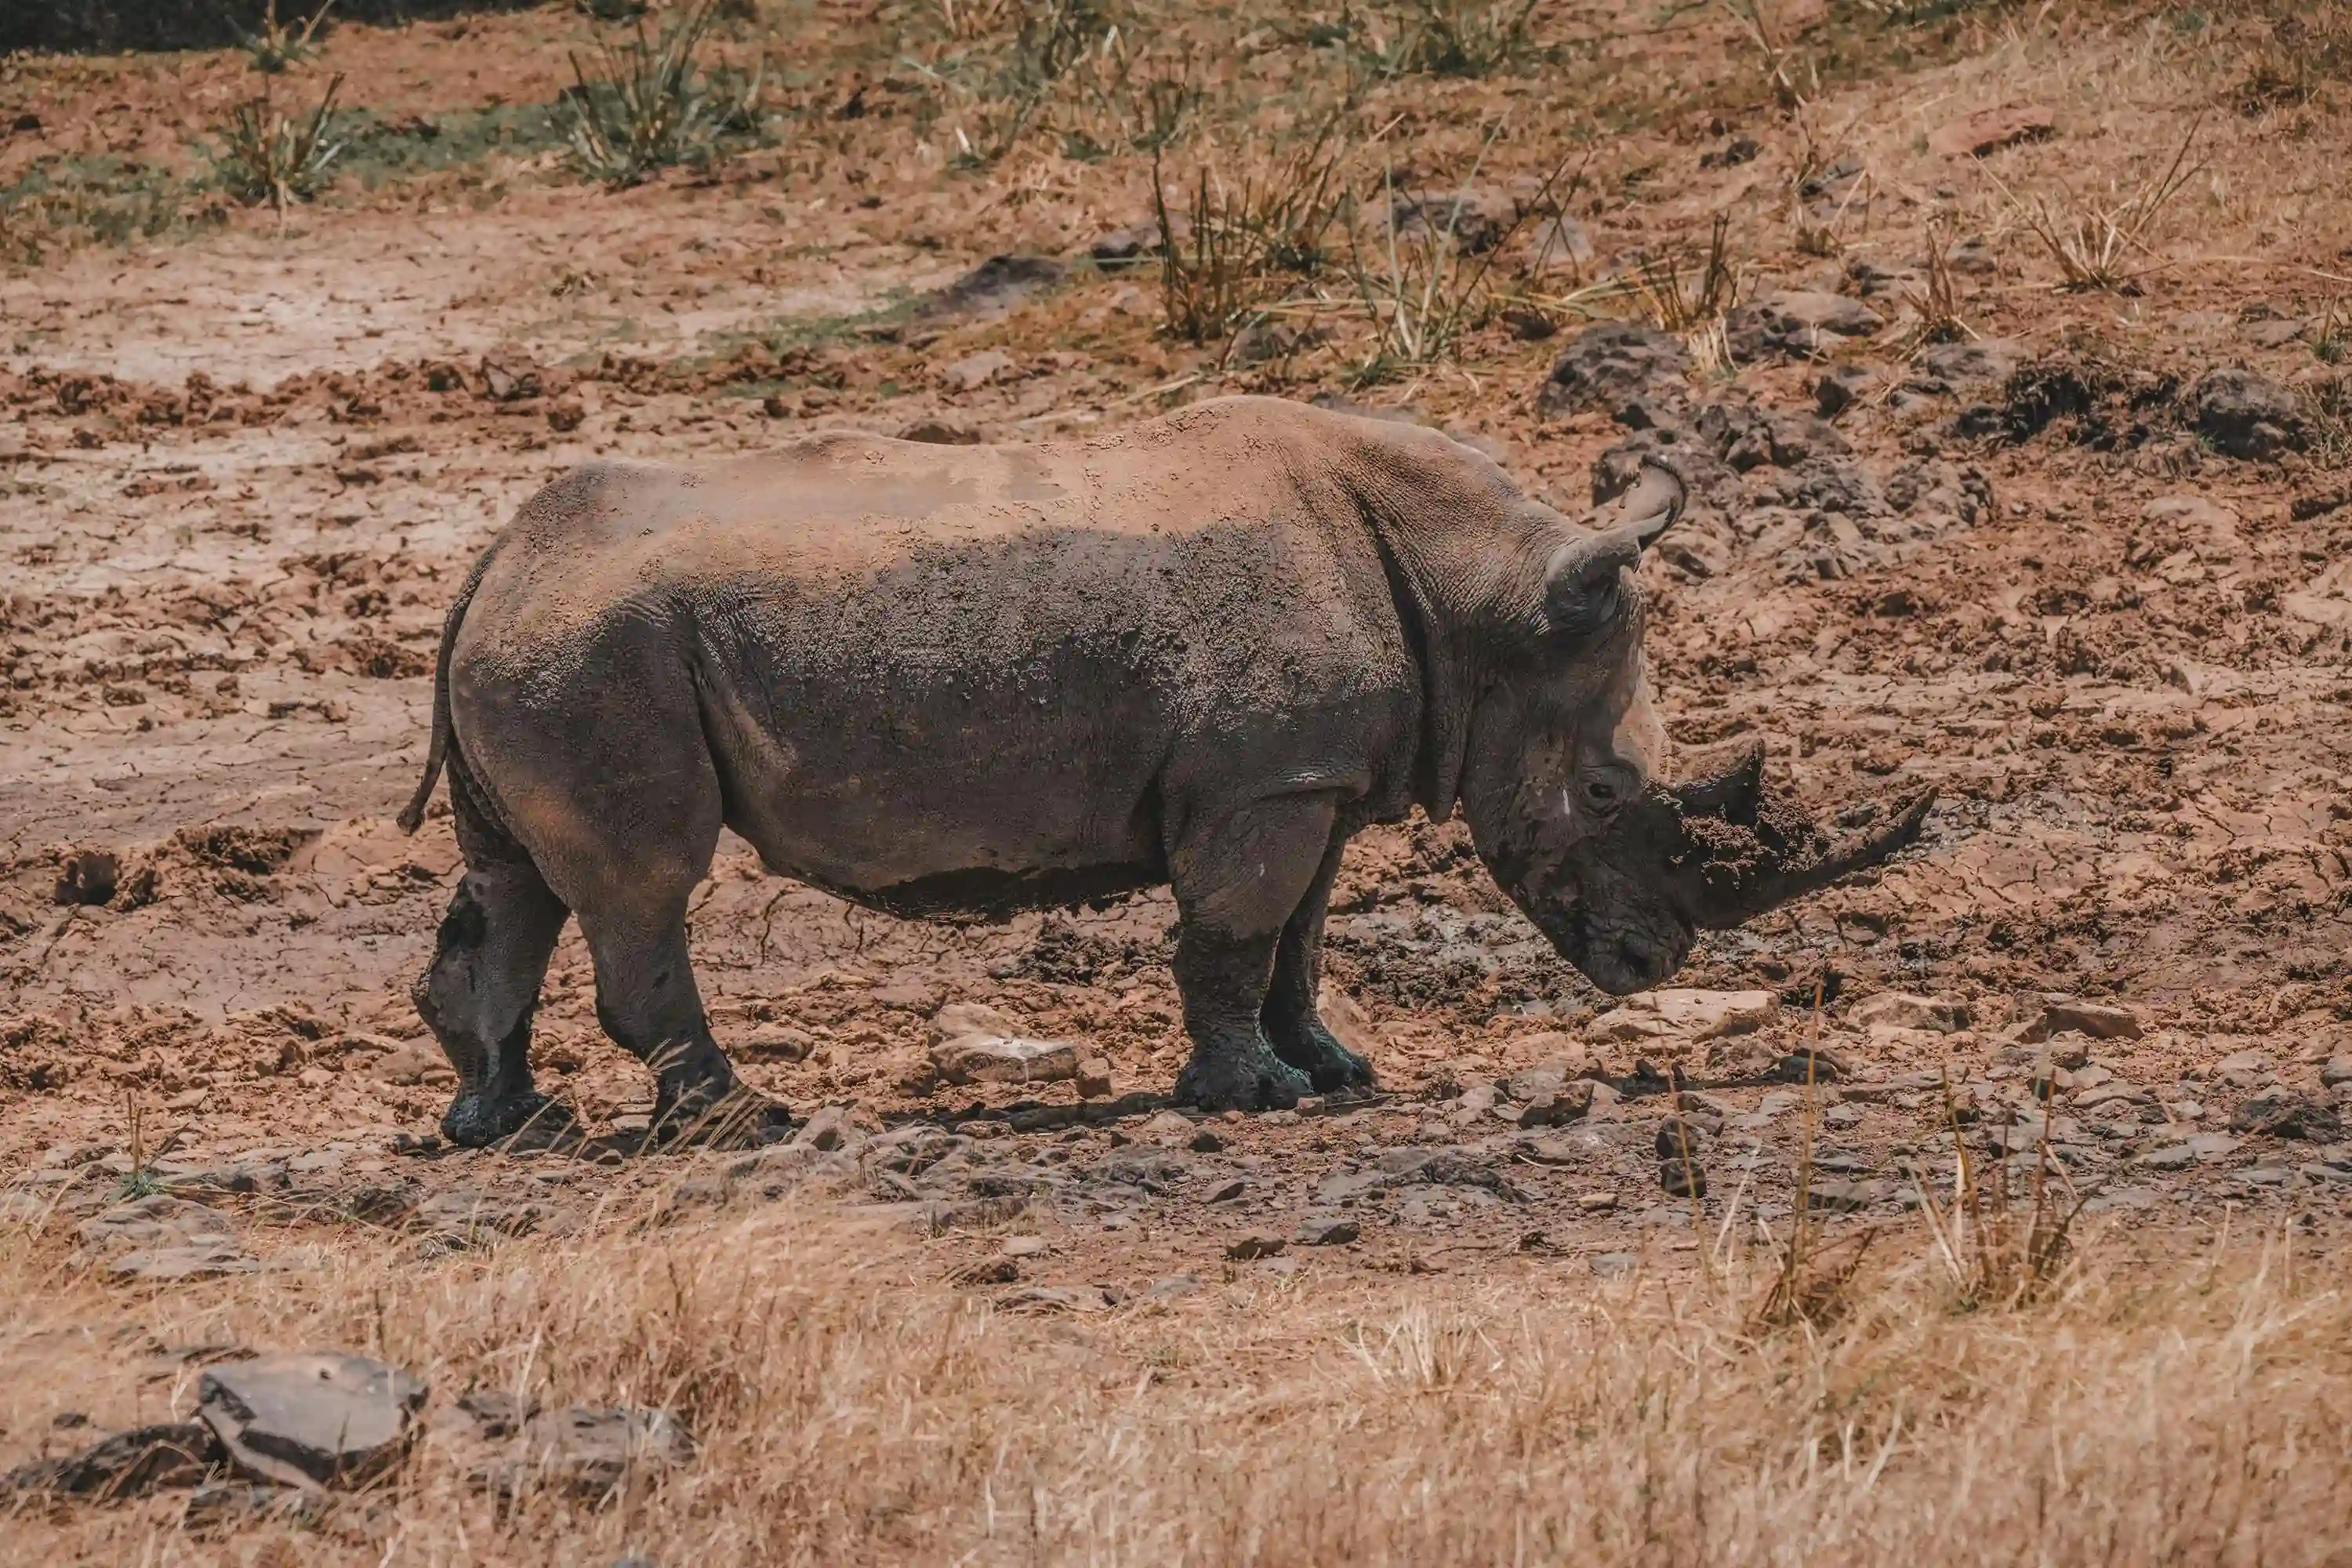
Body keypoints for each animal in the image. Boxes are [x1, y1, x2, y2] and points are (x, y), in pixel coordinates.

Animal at [398, 396, 1929, 1147]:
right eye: (1606, 796)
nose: (1652, 962)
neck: (1483, 594)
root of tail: (494, 561)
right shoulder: (1265, 784)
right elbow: (1235, 937)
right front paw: (1250, 1101)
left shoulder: (1312, 779)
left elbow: (1302, 938)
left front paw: (1337, 1073)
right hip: (601, 653)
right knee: (642, 883)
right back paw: (742, 1125)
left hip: (558, 644)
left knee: (516, 880)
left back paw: (509, 1126)